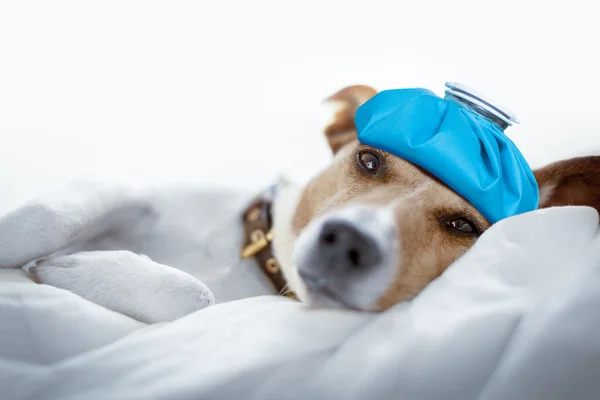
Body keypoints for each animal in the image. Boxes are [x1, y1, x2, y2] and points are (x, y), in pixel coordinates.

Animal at [2, 84, 596, 322]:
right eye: (369, 162)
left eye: (463, 225)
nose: (347, 242)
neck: (252, 263)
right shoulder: (122, 188)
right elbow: (43, 217)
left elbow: (196, 296)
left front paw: (73, 268)